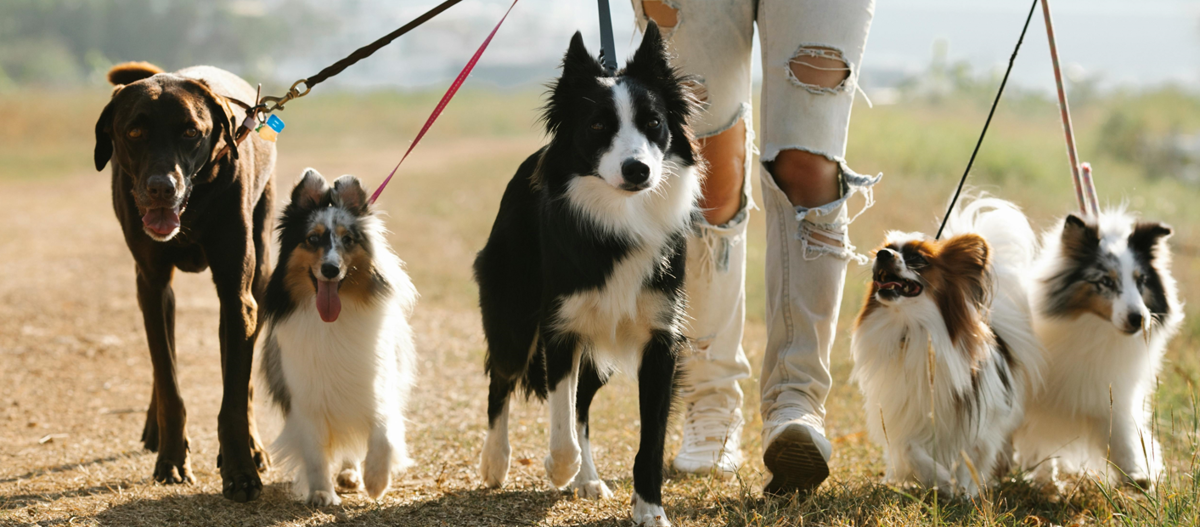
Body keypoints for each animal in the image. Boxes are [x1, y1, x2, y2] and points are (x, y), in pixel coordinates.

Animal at [92, 63, 274, 504]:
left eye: (191, 131)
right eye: (134, 132)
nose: (162, 187)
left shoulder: (237, 295)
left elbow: (234, 396)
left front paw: (241, 470)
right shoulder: (152, 285)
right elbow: (169, 382)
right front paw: (172, 459)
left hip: (259, 275)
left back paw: (254, 447)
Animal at [259, 170, 417, 506]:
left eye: (348, 239)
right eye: (312, 239)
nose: (330, 270)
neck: (332, 323)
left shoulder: (376, 386)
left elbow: (383, 433)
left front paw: (376, 481)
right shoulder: (305, 398)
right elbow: (315, 453)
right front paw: (321, 493)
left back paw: (352, 474)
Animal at [472, 22, 700, 525]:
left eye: (654, 123)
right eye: (598, 126)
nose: (638, 170)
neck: (619, 217)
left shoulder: (661, 337)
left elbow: (648, 438)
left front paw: (650, 509)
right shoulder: (561, 325)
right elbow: (560, 419)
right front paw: (558, 468)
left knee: (582, 403)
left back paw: (588, 478)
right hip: (513, 310)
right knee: (502, 378)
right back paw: (497, 462)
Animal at [854, 199, 1041, 499]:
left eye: (918, 258)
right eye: (888, 248)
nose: (883, 254)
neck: (912, 327)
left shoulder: (978, 422)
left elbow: (970, 457)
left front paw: (963, 489)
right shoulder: (904, 411)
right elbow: (909, 448)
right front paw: (940, 481)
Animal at [1012, 210, 1180, 492]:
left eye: (1141, 281)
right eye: (1105, 281)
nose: (1138, 319)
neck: (1095, 330)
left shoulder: (1110, 393)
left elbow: (1123, 434)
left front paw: (1138, 474)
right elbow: (1035, 439)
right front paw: (1042, 474)